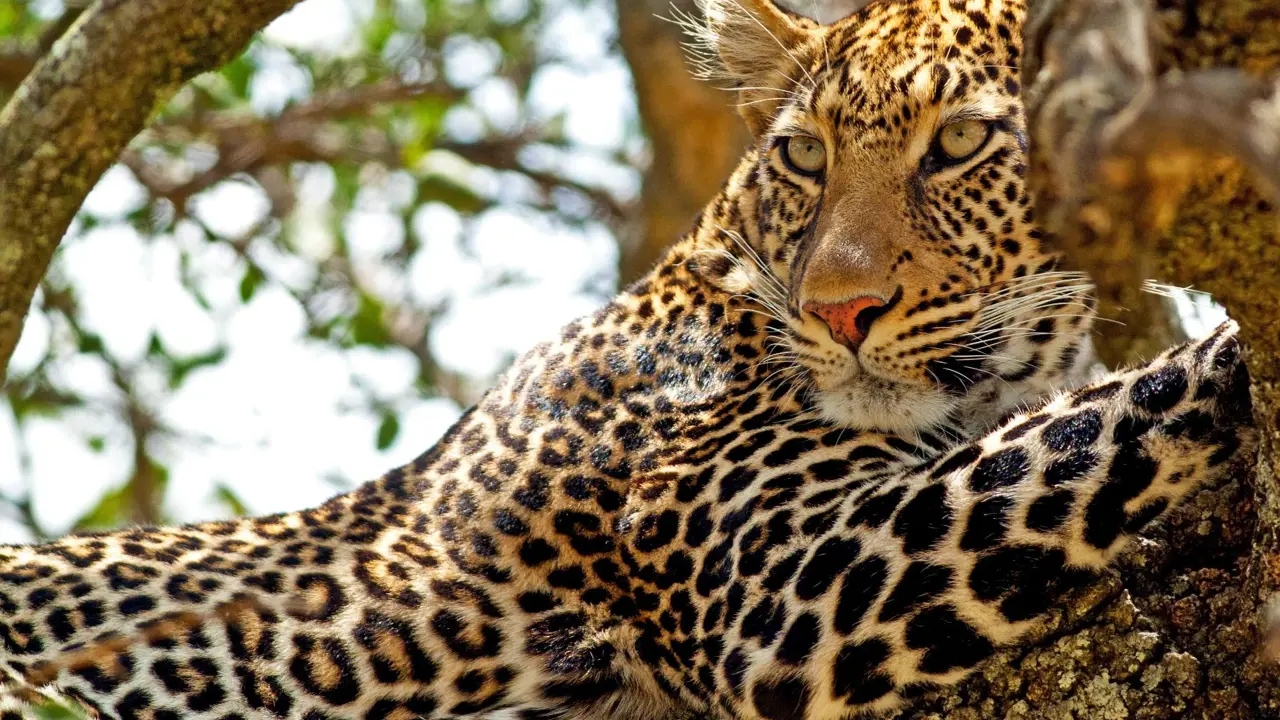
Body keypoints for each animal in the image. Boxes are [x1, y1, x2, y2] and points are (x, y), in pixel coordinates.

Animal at [0, 1, 1254, 717]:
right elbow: (1079, 431)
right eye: (804, 156)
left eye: (956, 145)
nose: (841, 310)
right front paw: (1226, 354)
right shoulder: (788, 585)